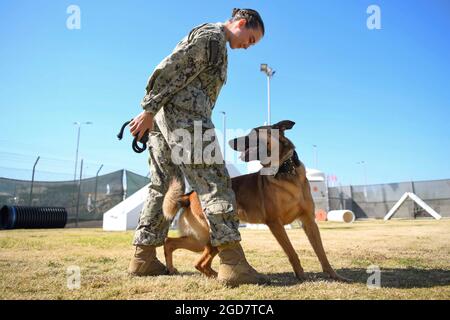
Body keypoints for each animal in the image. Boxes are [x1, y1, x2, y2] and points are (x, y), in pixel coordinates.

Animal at [162, 120, 348, 282]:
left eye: (253, 133)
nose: (230, 141)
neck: (285, 170)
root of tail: (190, 194)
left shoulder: (309, 222)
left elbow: (321, 252)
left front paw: (334, 275)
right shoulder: (275, 224)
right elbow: (291, 252)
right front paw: (301, 276)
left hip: (204, 240)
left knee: (189, 256)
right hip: (208, 237)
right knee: (179, 249)